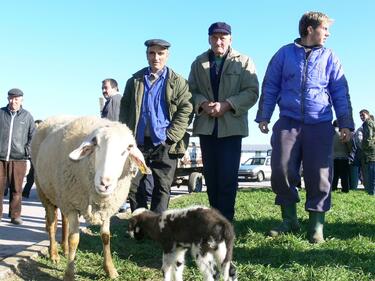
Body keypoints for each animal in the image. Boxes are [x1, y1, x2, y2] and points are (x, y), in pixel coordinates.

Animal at [30, 115, 151, 278]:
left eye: (126, 150)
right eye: (96, 145)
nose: (105, 183)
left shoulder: (106, 208)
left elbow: (106, 236)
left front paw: (110, 269)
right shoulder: (72, 205)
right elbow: (74, 239)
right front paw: (69, 274)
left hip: (63, 196)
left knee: (64, 221)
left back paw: (65, 249)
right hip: (45, 191)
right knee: (51, 224)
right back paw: (54, 254)